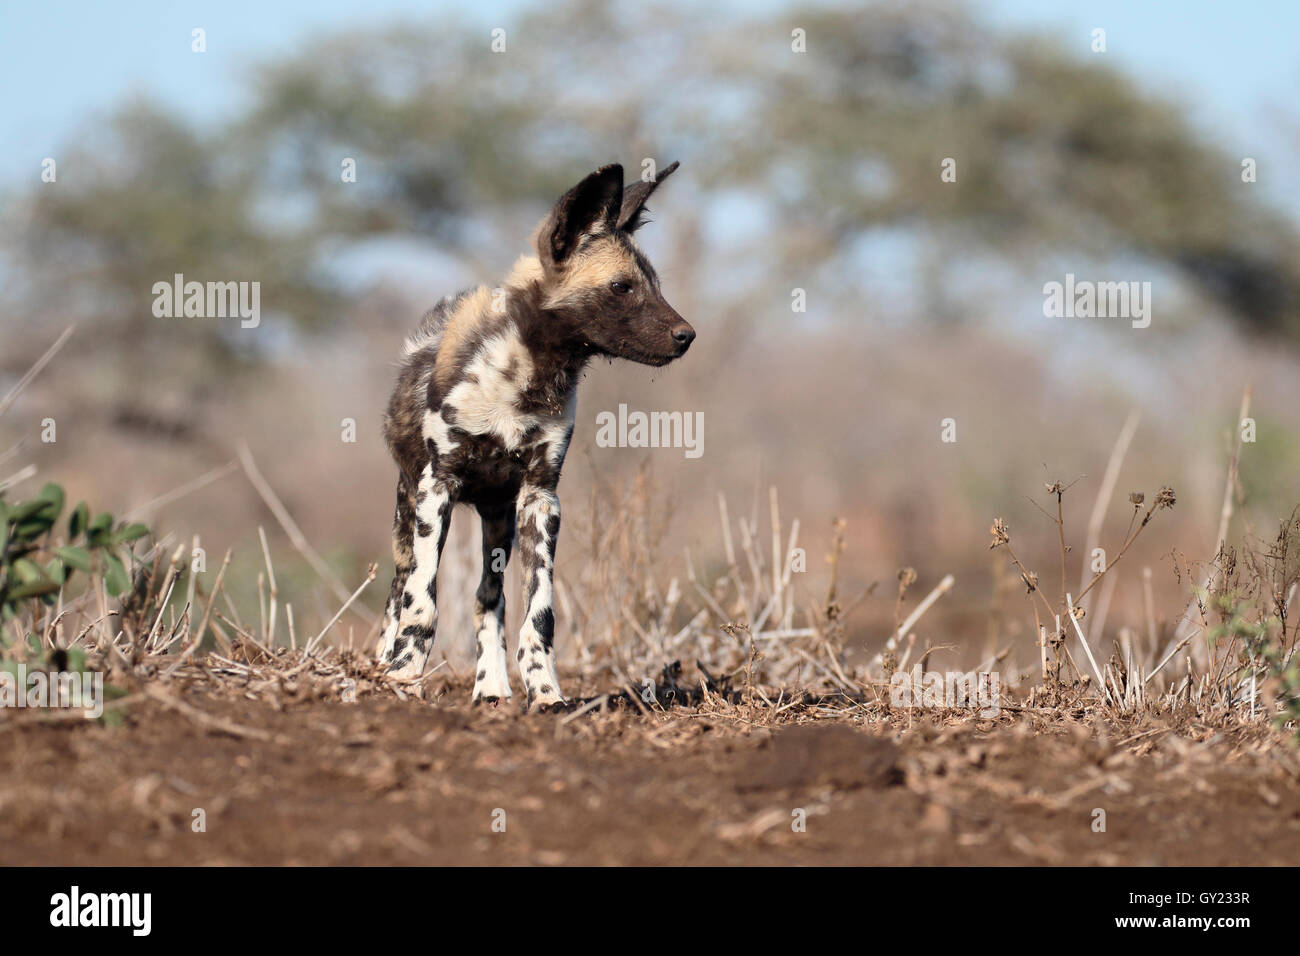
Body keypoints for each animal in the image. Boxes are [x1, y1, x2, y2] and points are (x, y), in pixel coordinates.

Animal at [379, 160, 696, 712]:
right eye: (622, 287)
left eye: (654, 285)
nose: (687, 336)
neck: (528, 376)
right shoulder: (436, 489)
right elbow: (421, 603)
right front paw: (402, 678)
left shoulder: (540, 499)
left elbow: (538, 614)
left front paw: (545, 693)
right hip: (408, 508)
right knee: (398, 592)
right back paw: (381, 664)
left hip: (498, 519)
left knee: (489, 598)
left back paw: (491, 687)